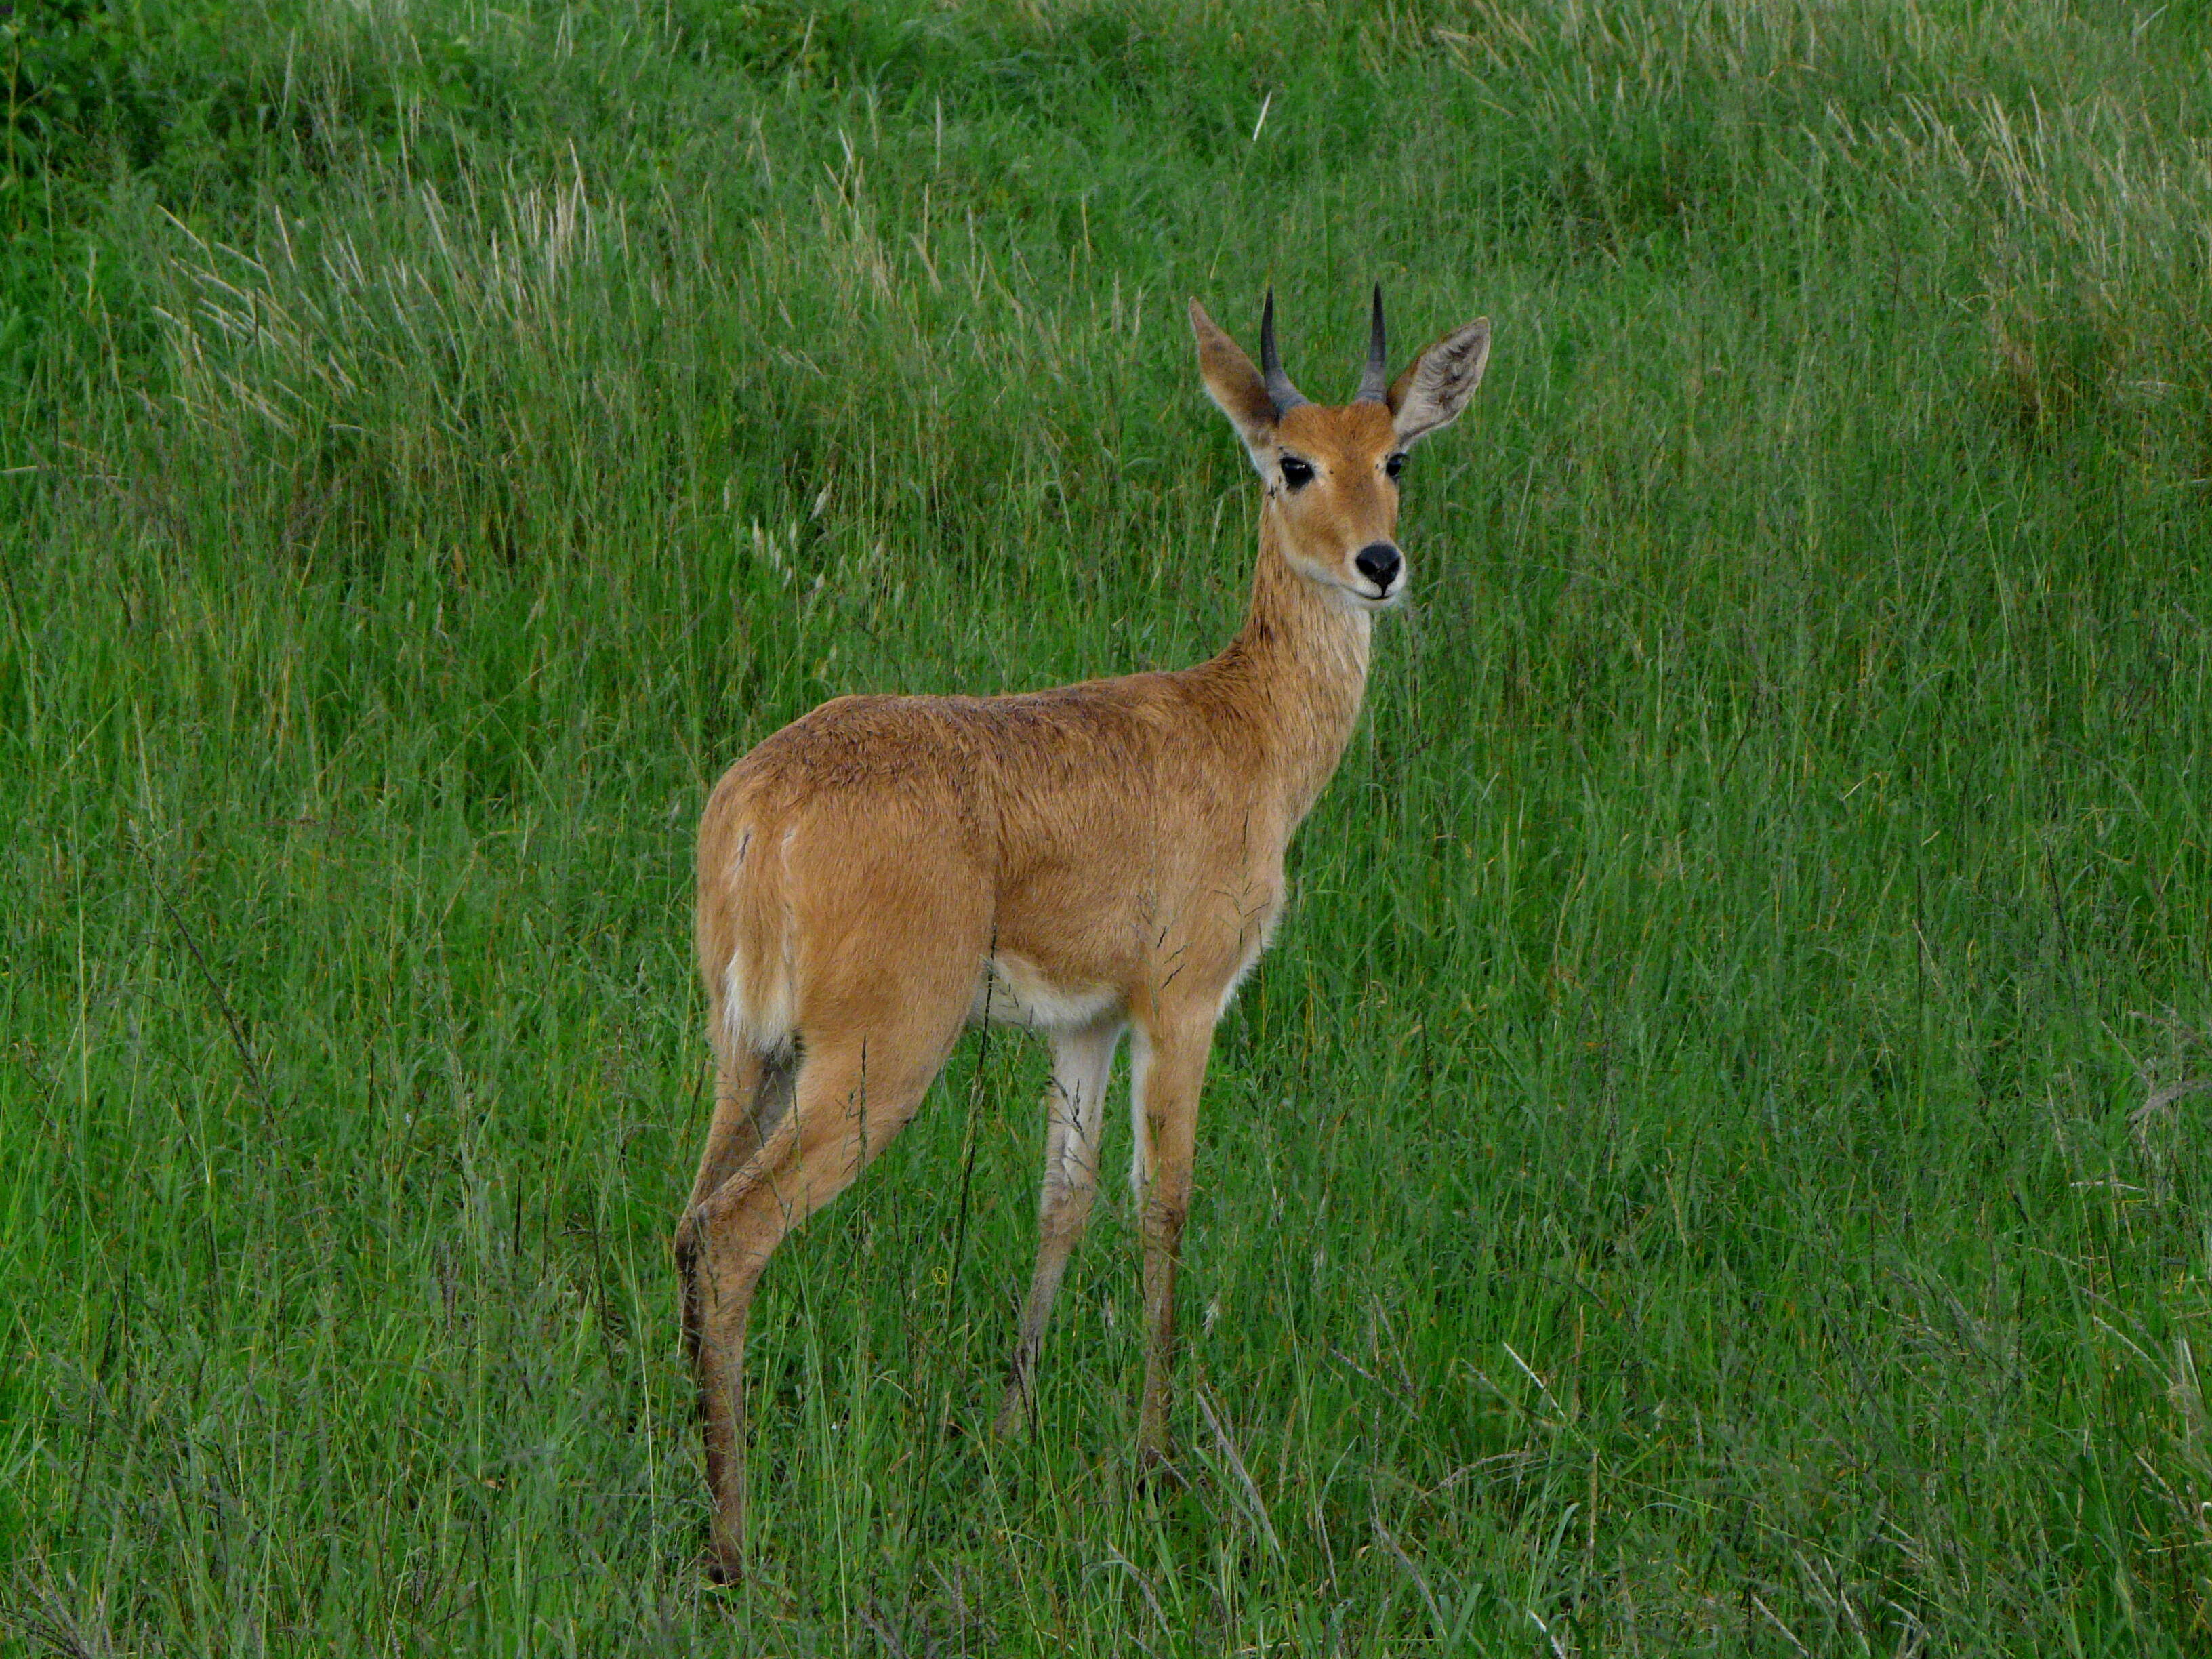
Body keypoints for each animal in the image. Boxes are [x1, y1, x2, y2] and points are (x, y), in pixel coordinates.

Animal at [681, 289, 1495, 1584]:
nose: (1380, 564)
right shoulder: (1186, 1003)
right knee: (731, 1237)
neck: (1244, 729)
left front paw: (1010, 1422)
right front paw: (1154, 1458)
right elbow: (1167, 1201)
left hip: (744, 1050)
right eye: (1291, 461)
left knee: (684, 1224)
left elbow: (1064, 1199)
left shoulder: (1085, 1024)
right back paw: (734, 1546)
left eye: (1396, 456)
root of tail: (760, 805)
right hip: (871, 1066)